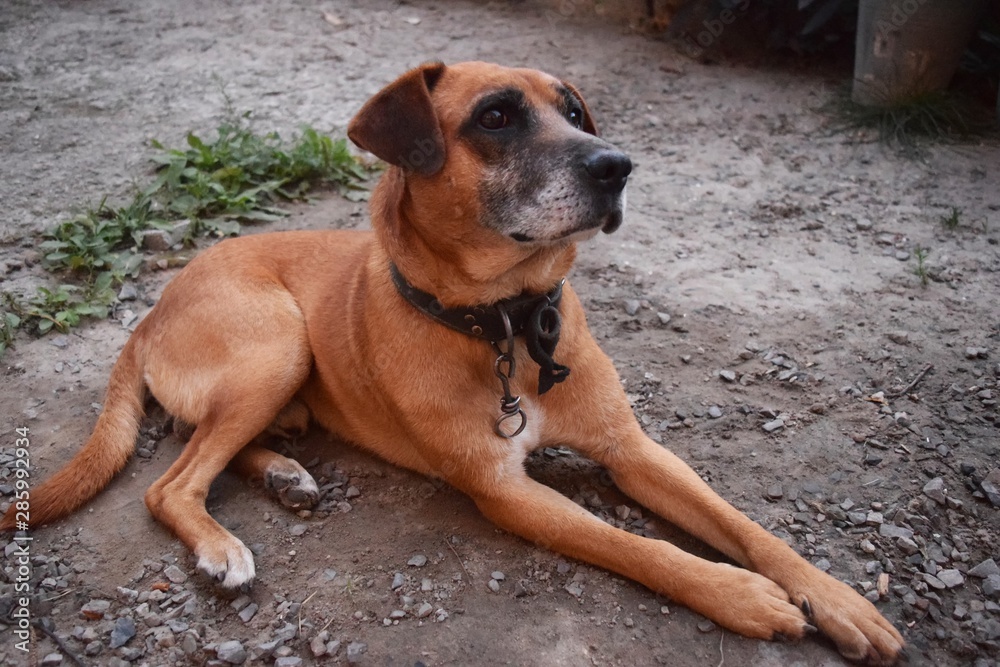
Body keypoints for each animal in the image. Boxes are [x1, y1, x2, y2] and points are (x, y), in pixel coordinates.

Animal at [0, 61, 908, 664]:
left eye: (573, 110)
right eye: (497, 116)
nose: (617, 165)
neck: (509, 323)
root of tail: (151, 310)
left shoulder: (634, 449)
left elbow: (746, 524)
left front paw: (834, 596)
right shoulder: (506, 490)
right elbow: (639, 548)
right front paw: (740, 595)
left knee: (207, 445)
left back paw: (285, 473)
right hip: (277, 342)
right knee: (170, 480)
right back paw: (223, 544)